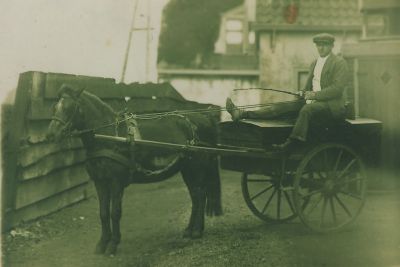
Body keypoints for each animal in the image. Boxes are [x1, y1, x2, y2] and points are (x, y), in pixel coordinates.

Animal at [47, 86, 223, 258]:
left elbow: (115, 212)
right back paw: (190, 230)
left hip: (196, 168)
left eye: (70, 107)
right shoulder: (100, 181)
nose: (51, 134)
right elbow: (103, 213)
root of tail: (204, 118)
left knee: (200, 195)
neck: (109, 137)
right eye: (54, 107)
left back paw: (196, 231)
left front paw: (113, 244)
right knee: (196, 196)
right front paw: (102, 243)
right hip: (187, 170)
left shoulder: (116, 182)